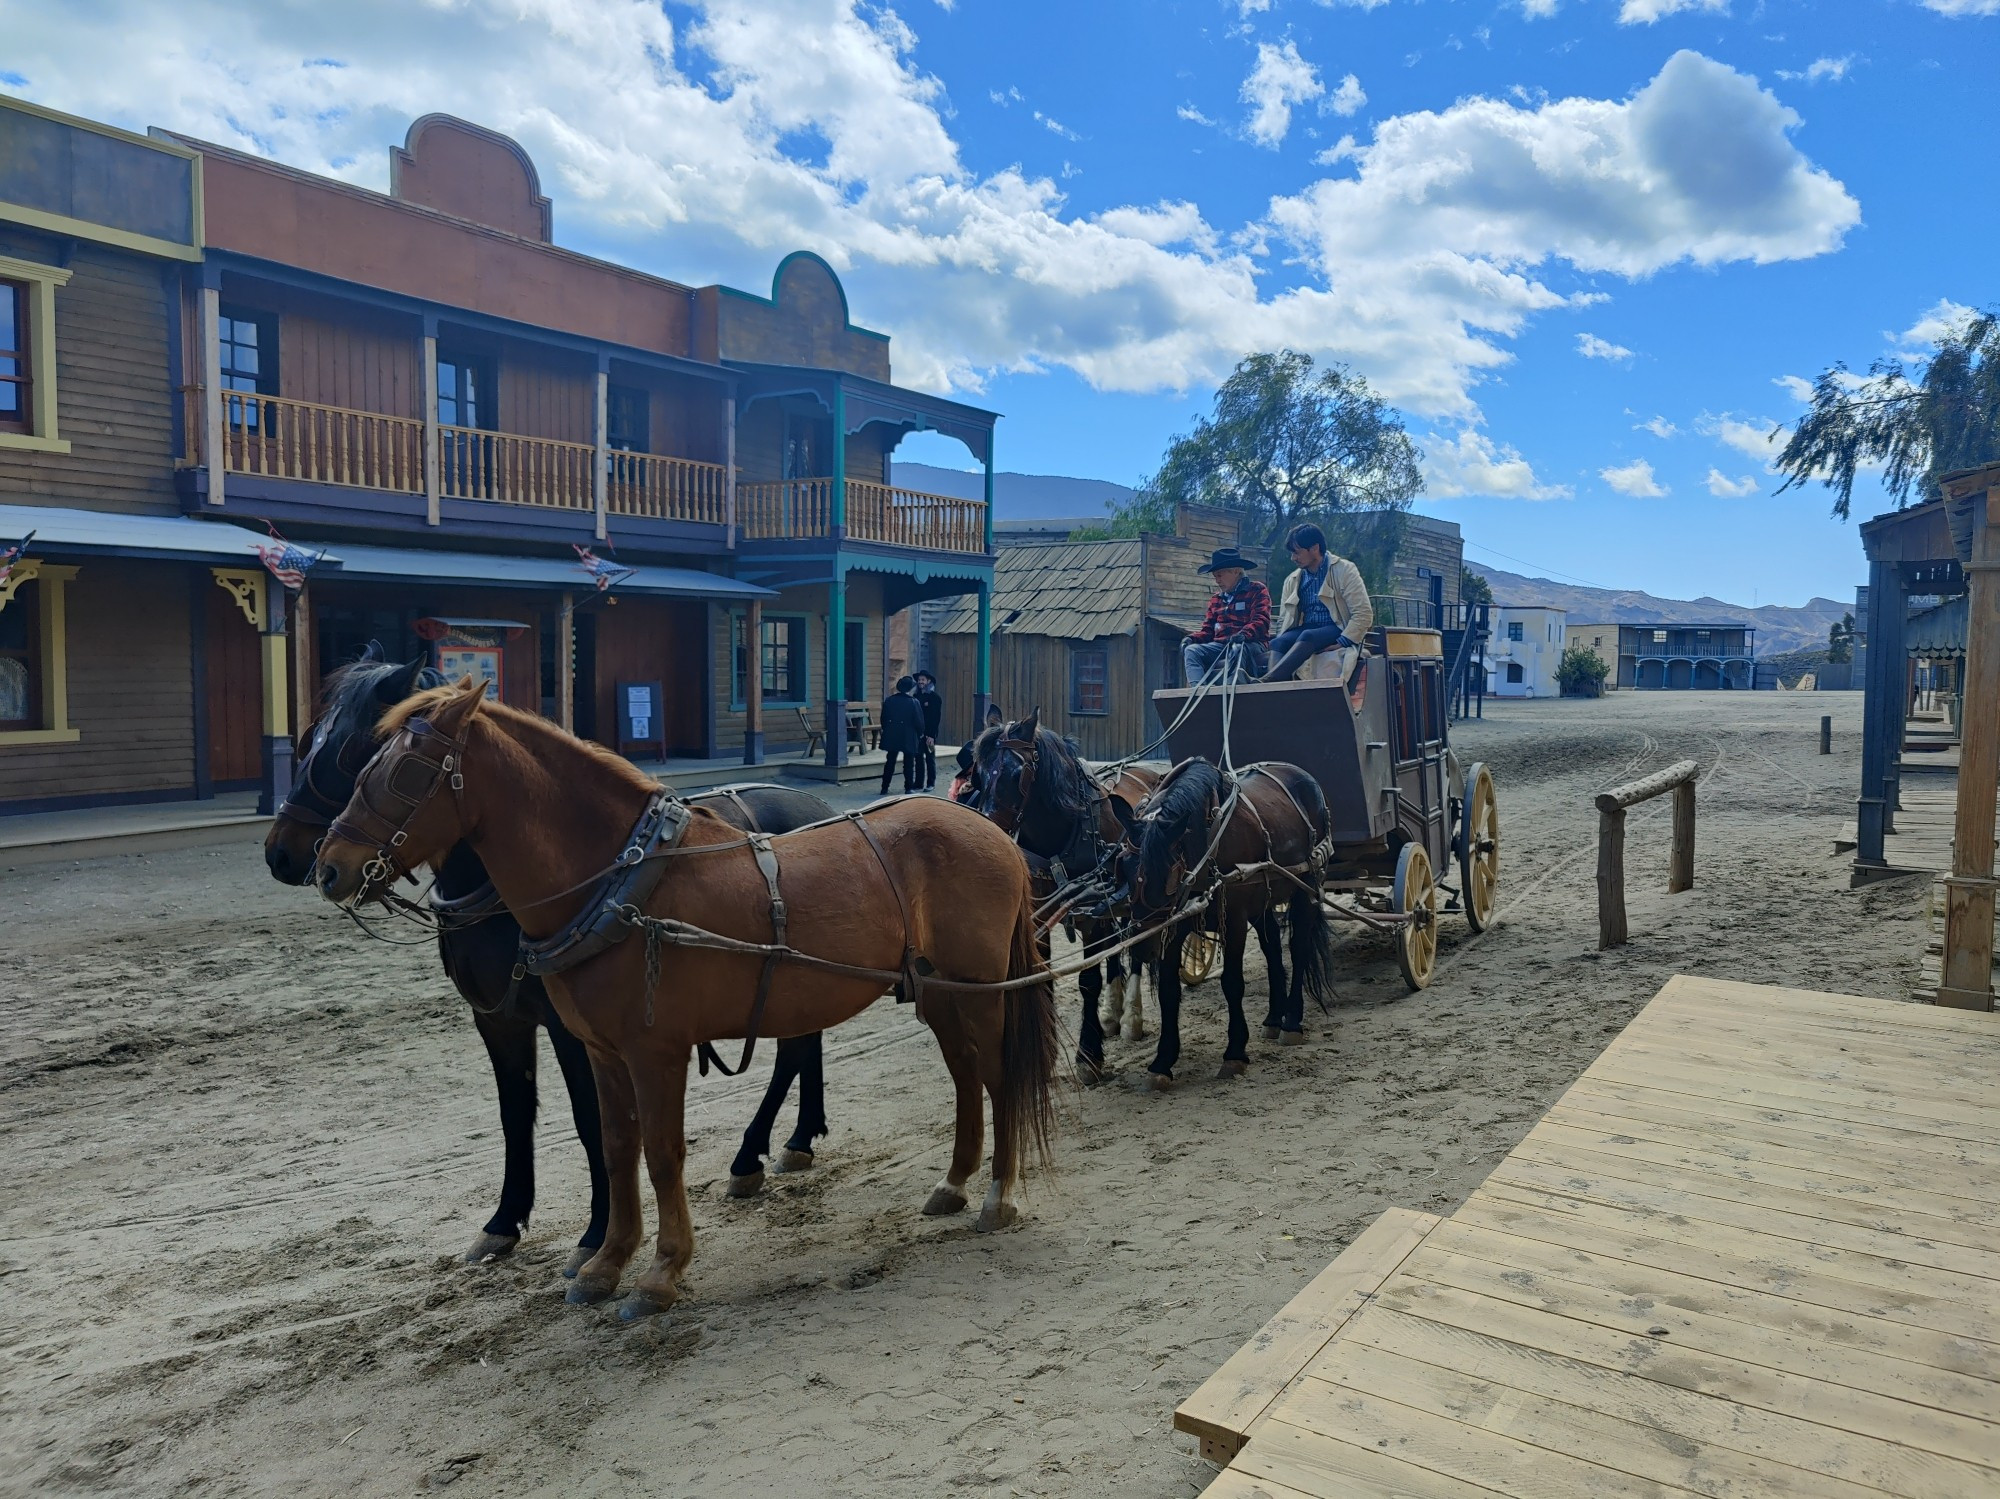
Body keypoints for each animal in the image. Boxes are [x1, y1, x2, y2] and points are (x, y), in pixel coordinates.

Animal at [264, 651, 836, 1271]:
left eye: (355, 749)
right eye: (307, 740)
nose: (285, 855)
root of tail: (815, 805)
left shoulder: (575, 1027)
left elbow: (593, 1121)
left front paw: (598, 1232)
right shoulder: (496, 1020)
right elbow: (515, 1115)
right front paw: (504, 1220)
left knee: (793, 1052)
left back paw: (754, 1151)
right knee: (803, 1045)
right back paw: (797, 1135)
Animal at [312, 675, 1056, 1319]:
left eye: (405, 772)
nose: (327, 866)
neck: (619, 882)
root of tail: (989, 829)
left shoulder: (655, 1051)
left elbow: (661, 1152)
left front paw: (662, 1270)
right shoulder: (601, 1050)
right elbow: (615, 1145)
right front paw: (606, 1261)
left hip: (981, 991)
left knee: (997, 1077)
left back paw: (998, 1193)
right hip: (939, 992)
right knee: (964, 1075)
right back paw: (954, 1181)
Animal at [964, 711, 1160, 1079]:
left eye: (1017, 773)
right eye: (977, 774)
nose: (987, 834)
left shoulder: (1091, 911)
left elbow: (1087, 980)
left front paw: (1088, 1056)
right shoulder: (1040, 911)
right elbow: (1041, 978)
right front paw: (1045, 1051)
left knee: (1135, 944)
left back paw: (1131, 1017)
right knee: (1116, 946)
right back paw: (1112, 1014)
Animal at [1112, 763, 1328, 1095]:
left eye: (1168, 874)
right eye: (1123, 866)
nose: (1143, 947)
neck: (1205, 844)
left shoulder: (1234, 918)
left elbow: (1232, 983)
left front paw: (1235, 1052)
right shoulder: (1173, 927)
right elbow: (1169, 991)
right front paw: (1162, 1061)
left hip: (1306, 884)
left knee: (1299, 947)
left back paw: (1291, 1020)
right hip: (1262, 898)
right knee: (1272, 949)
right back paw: (1273, 1018)